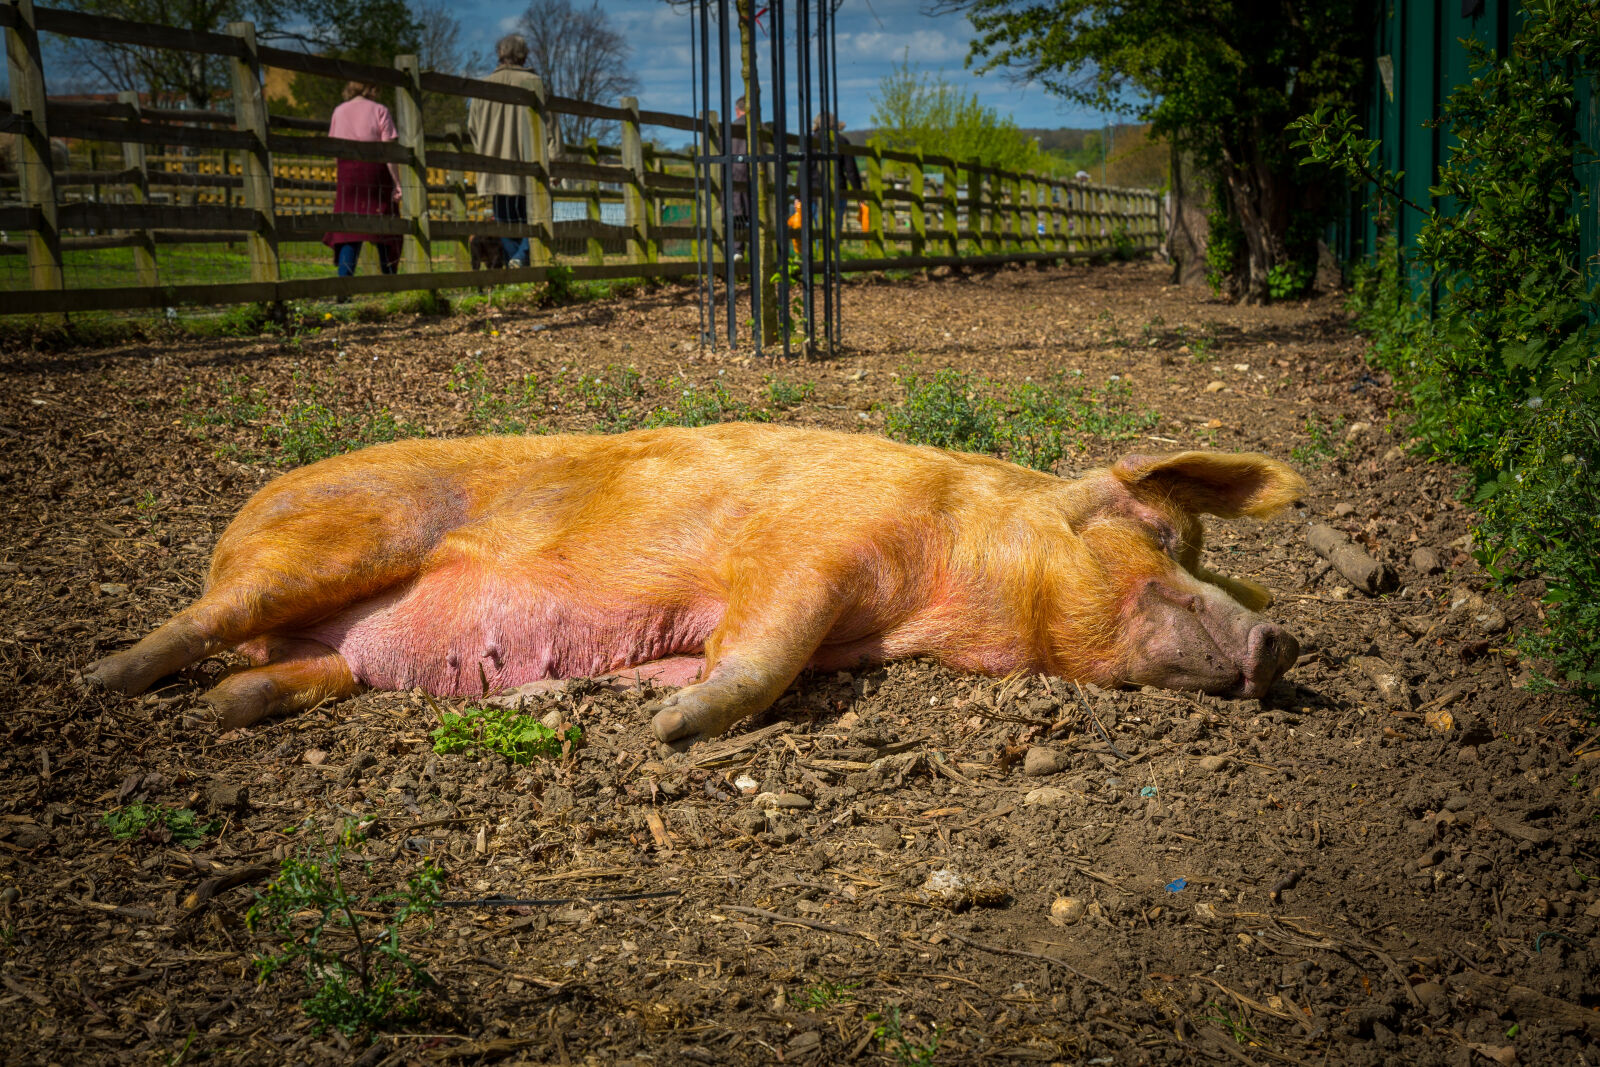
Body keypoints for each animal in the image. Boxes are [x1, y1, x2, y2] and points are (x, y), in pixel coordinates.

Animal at [80, 423, 1306, 745]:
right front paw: (671, 731)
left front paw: (603, 699)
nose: (1281, 639)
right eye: (1161, 534)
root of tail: (234, 524)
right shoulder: (808, 554)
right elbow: (762, 655)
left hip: (330, 656)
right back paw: (101, 685)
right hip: (332, 543)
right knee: (197, 619)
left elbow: (720, 654)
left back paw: (224, 708)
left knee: (280, 672)